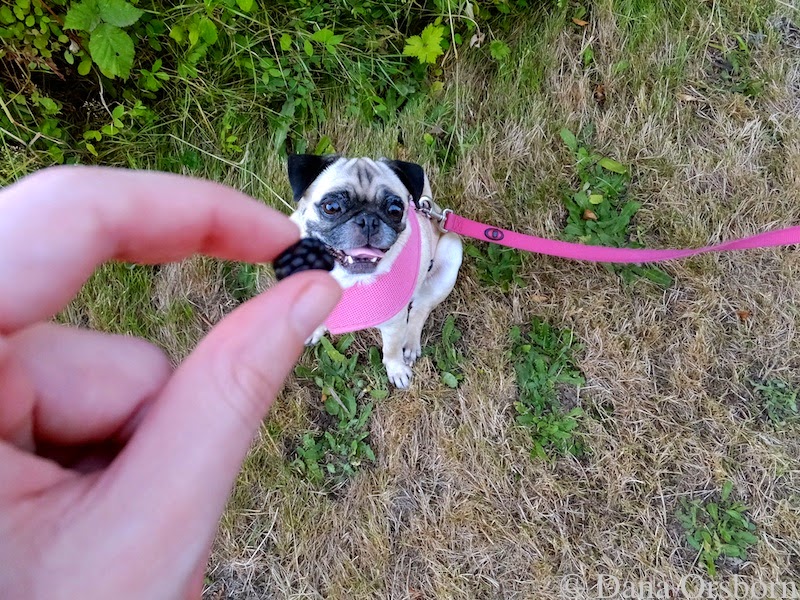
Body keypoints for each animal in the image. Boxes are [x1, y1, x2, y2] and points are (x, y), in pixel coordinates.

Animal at [287, 154, 463, 388]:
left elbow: (391, 349)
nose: (368, 220)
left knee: (420, 309)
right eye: (331, 207)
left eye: (395, 211)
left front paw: (397, 370)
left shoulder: (394, 324)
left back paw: (410, 344)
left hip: (450, 256)